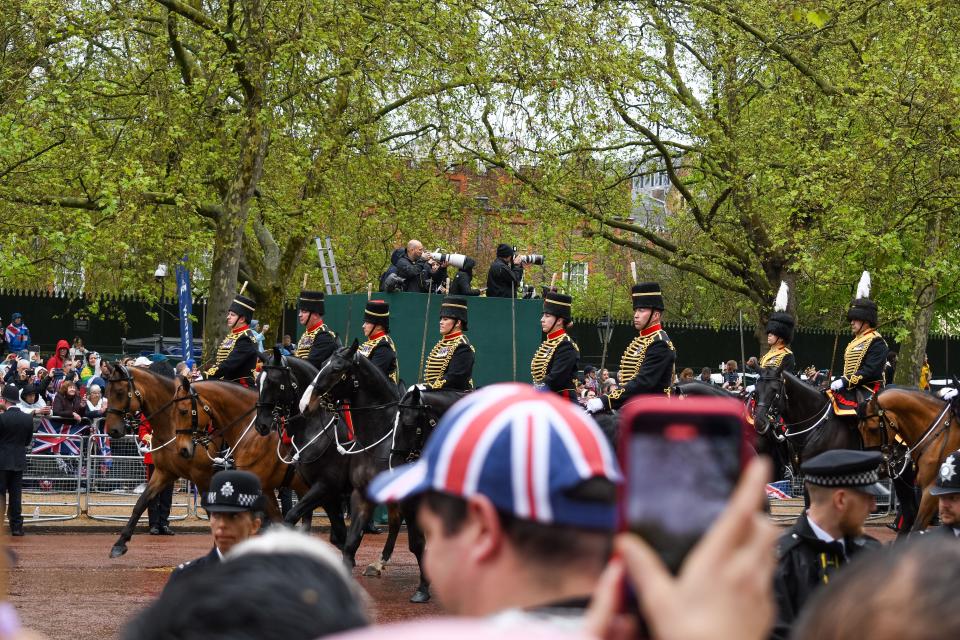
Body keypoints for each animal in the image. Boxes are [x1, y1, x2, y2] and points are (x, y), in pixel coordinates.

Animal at [304, 340, 432, 604]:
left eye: (337, 368)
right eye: (323, 364)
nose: (307, 403)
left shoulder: (410, 498)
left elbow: (416, 543)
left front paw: (423, 588)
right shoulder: (362, 493)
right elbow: (350, 542)